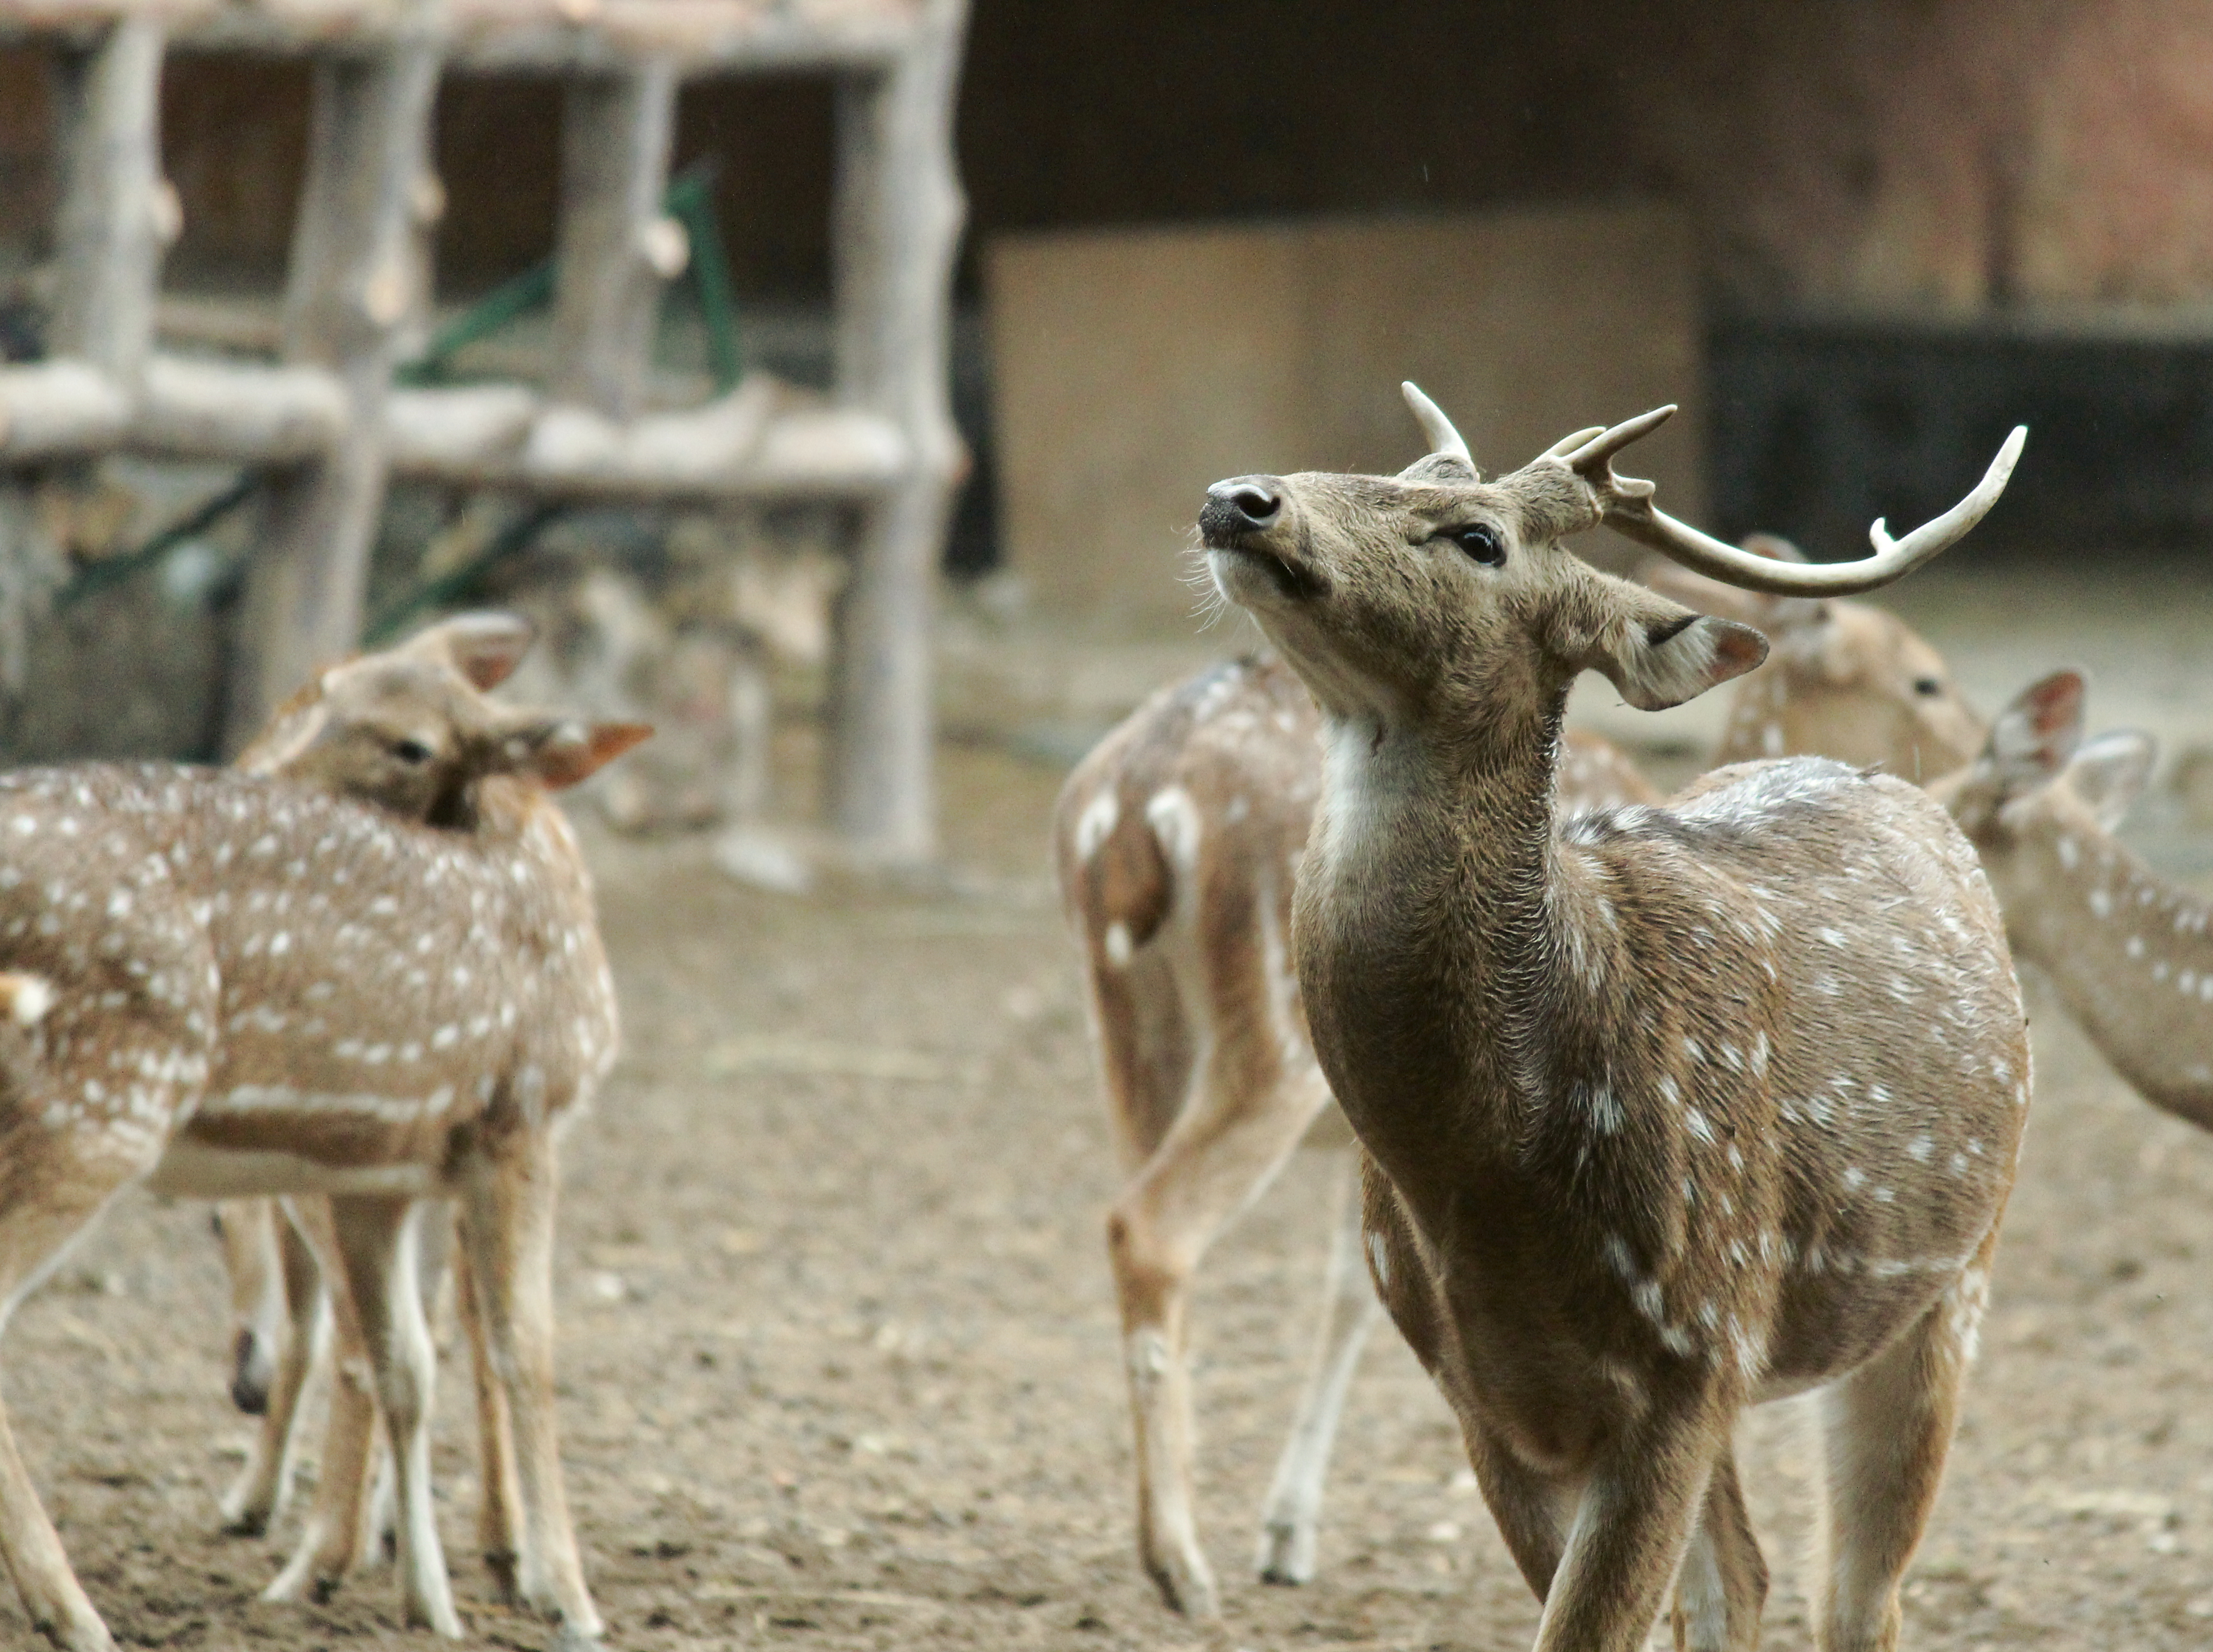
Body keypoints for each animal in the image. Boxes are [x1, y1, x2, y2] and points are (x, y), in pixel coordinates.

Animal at [0, 628, 646, 1645]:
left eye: (414, 745)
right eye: (318, 690)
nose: (258, 768)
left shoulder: (378, 1172)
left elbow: (403, 1354)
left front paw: (429, 1601)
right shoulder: (520, 1118)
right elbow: (526, 1346)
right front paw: (571, 1600)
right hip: (98, 1103)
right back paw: (78, 1613)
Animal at [1062, 427, 2000, 1619]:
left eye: (1477, 535)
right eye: (1920, 675)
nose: (1242, 498)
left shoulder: (1687, 1353)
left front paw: (1286, 1530)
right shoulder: (1486, 1396)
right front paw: (1282, 1531)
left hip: (1942, 1281)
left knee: (1847, 1587)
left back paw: (1180, 1556)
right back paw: (1180, 1557)